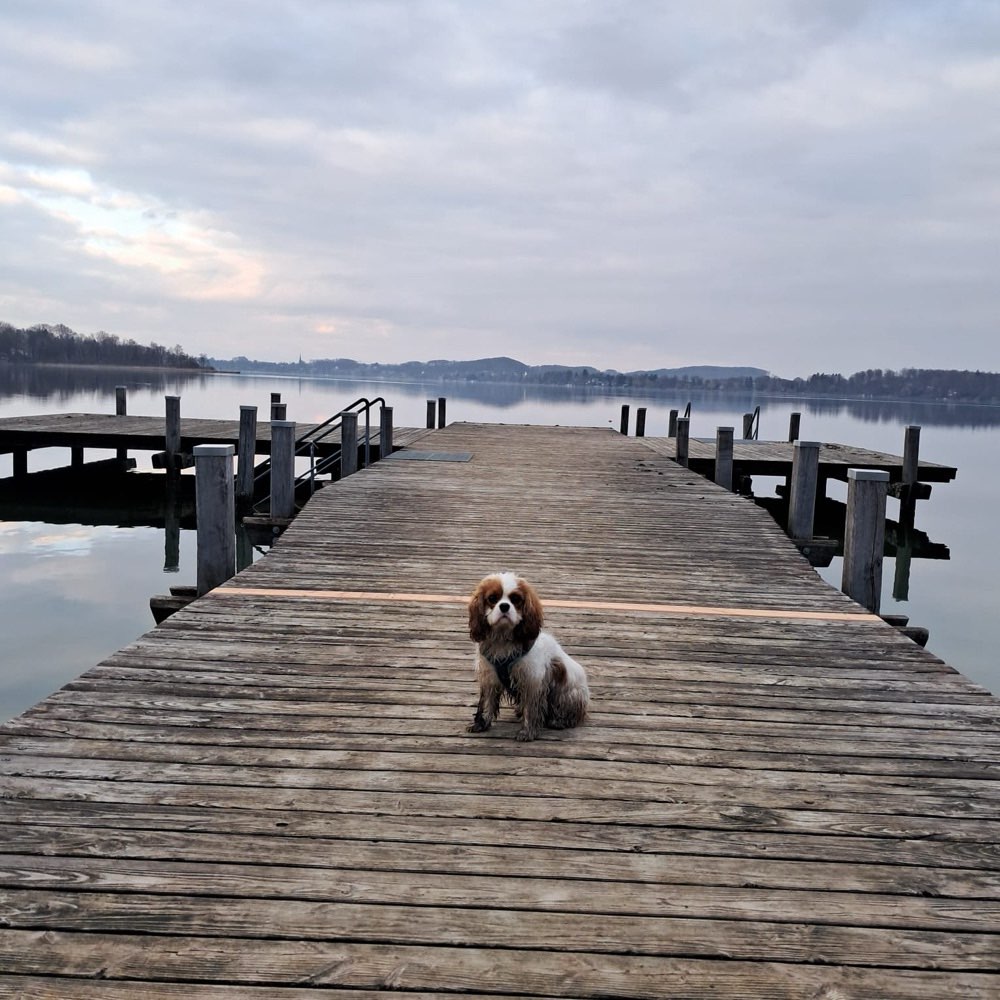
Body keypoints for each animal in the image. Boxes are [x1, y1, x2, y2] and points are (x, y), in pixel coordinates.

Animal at [464, 572, 588, 744]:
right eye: (492, 598)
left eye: (516, 599)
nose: (504, 606)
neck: (503, 639)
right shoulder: (489, 676)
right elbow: (486, 702)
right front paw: (481, 724)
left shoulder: (532, 681)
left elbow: (531, 709)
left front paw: (527, 732)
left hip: (568, 692)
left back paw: (558, 720)